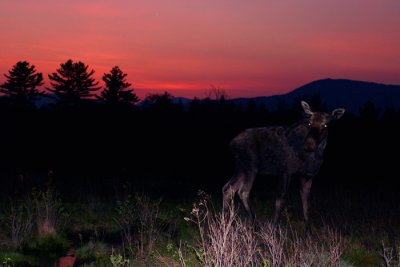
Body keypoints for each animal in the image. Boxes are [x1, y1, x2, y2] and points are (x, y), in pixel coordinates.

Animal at [223, 101, 346, 236]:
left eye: (325, 124)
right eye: (309, 123)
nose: (309, 144)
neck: (315, 156)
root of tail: (231, 143)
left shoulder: (307, 177)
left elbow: (306, 205)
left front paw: (309, 234)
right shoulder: (286, 172)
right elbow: (280, 201)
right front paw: (273, 230)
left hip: (241, 168)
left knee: (228, 188)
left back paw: (225, 221)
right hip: (251, 166)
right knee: (243, 191)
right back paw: (255, 225)